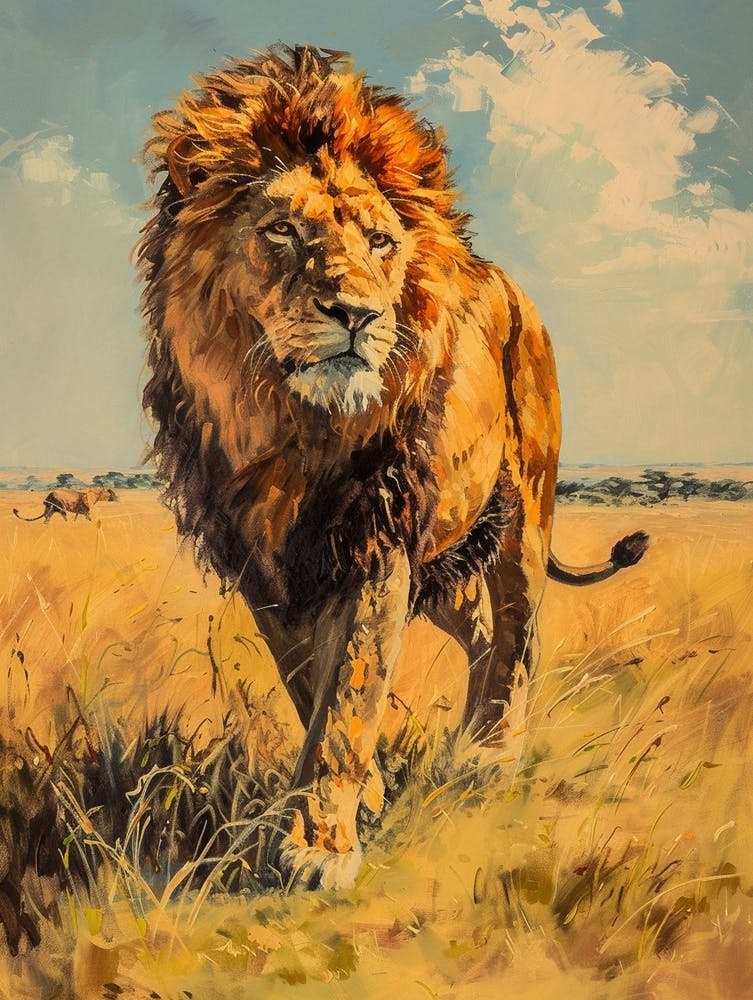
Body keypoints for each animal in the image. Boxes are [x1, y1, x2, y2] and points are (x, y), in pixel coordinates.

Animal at [138, 44, 647, 889]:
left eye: (379, 242)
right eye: (281, 231)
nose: (356, 315)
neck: (296, 427)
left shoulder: (377, 540)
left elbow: (348, 691)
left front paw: (317, 847)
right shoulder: (264, 559)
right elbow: (306, 678)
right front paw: (365, 795)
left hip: (521, 517)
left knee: (517, 633)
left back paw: (490, 754)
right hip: (447, 560)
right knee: (482, 632)